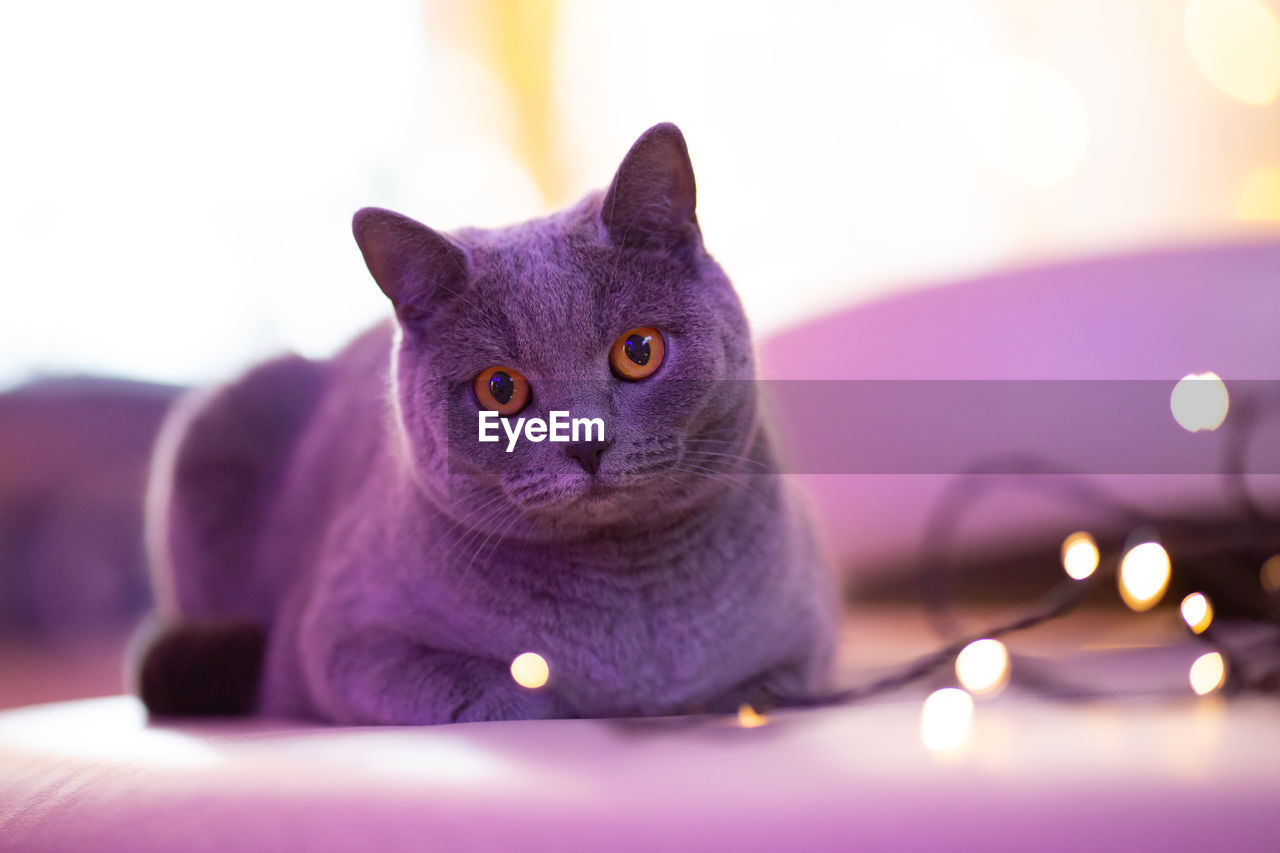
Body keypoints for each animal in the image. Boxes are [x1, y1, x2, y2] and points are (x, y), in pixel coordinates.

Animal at [137, 122, 839, 722]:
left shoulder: (810, 640)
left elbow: (763, 684)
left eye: (638, 351)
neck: (627, 603)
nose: (585, 442)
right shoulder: (338, 645)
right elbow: (482, 688)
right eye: (499, 389)